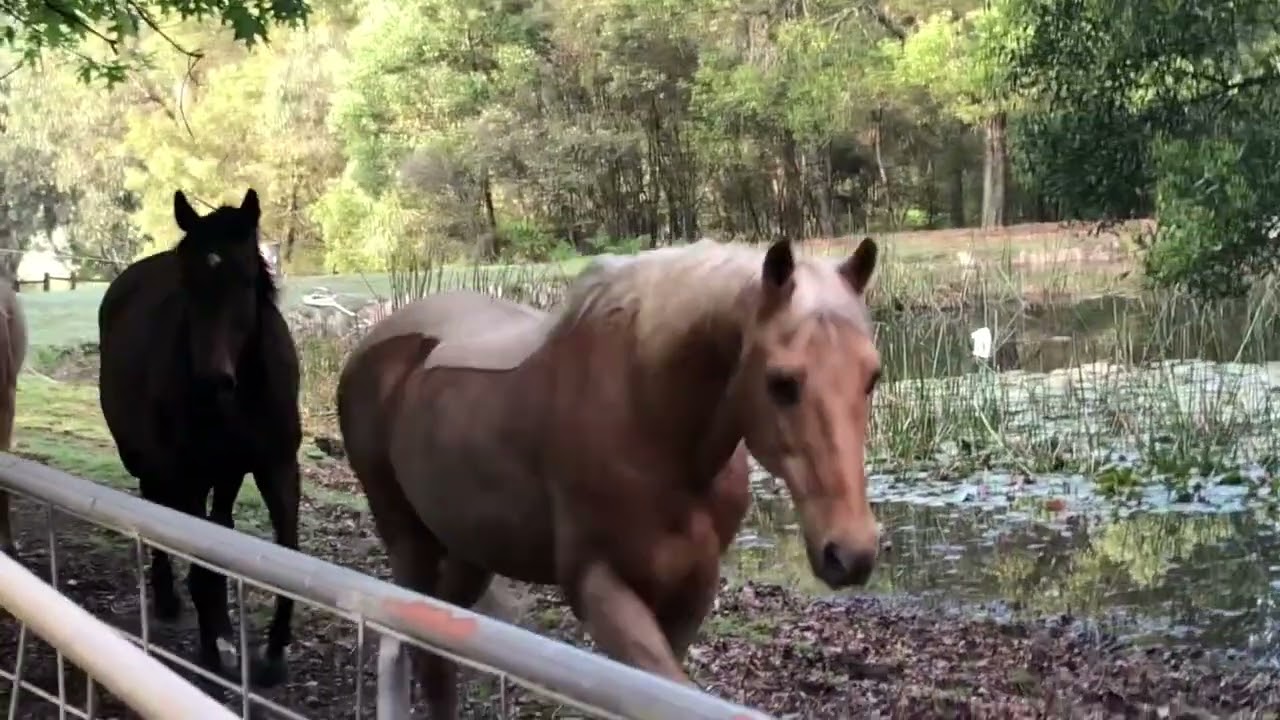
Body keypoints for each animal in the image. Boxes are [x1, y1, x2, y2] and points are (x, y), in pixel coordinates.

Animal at [97, 188, 302, 687]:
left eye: (245, 280)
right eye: (188, 284)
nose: (211, 381)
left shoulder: (277, 466)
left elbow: (285, 550)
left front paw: (272, 654)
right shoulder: (187, 473)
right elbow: (197, 554)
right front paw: (214, 646)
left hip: (222, 474)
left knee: (219, 526)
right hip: (151, 462)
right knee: (156, 510)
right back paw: (172, 602)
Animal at [339, 236, 883, 718]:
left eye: (872, 377)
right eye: (781, 383)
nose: (850, 553)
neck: (649, 422)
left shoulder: (691, 589)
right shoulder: (597, 585)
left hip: (470, 550)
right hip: (407, 540)